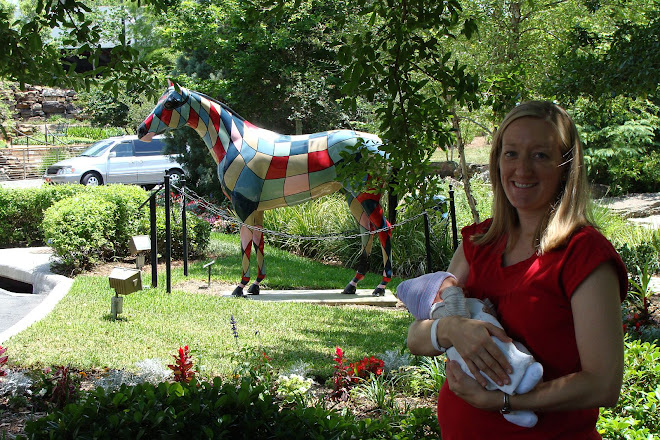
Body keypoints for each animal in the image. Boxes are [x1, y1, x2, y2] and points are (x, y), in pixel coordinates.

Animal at [136, 82, 390, 296]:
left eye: (171, 103)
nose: (141, 131)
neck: (236, 143)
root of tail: (380, 144)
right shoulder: (256, 208)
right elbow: (260, 242)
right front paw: (256, 285)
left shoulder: (243, 205)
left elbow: (246, 244)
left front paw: (240, 287)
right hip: (353, 197)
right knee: (366, 232)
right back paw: (352, 285)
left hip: (367, 196)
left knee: (384, 229)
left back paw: (379, 287)